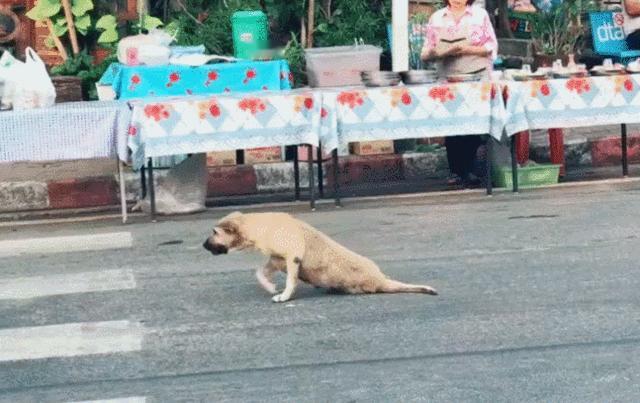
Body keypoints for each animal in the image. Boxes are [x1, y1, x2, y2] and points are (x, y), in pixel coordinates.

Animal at [202, 211, 438, 304]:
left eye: (214, 232)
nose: (203, 245)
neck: (259, 226)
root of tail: (380, 280)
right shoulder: (277, 259)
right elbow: (260, 272)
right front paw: (270, 287)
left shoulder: (292, 257)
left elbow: (291, 281)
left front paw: (284, 296)